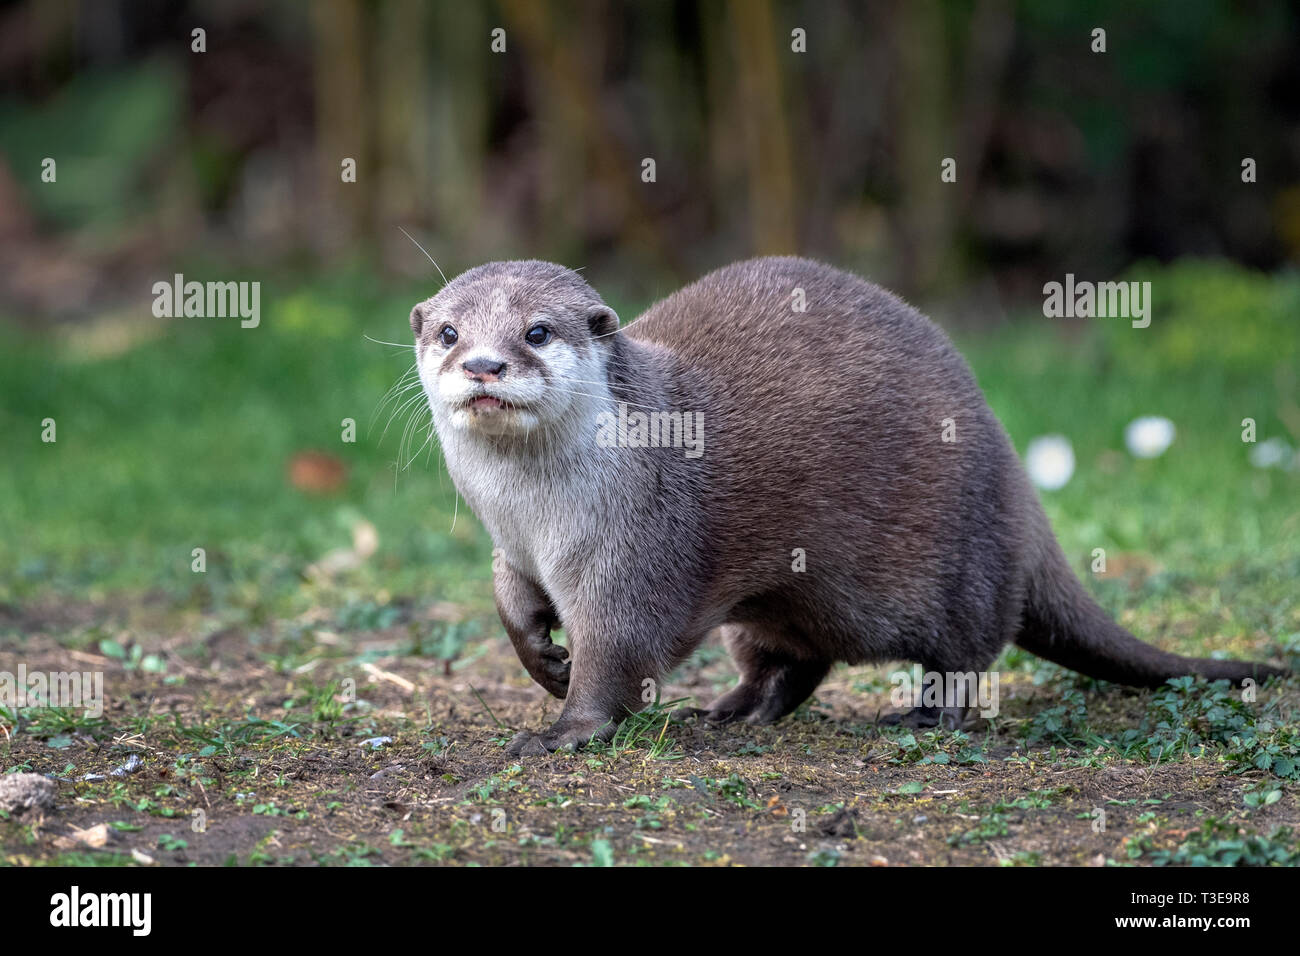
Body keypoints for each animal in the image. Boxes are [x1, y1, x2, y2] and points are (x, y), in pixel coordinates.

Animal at [410, 254, 1284, 754]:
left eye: (538, 331)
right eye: (449, 331)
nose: (484, 364)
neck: (542, 515)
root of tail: (1014, 480)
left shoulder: (641, 550)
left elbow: (620, 649)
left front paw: (566, 728)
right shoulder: (511, 545)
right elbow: (510, 602)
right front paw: (542, 658)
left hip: (959, 562)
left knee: (967, 656)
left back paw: (925, 718)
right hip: (783, 599)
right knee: (791, 661)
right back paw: (732, 712)